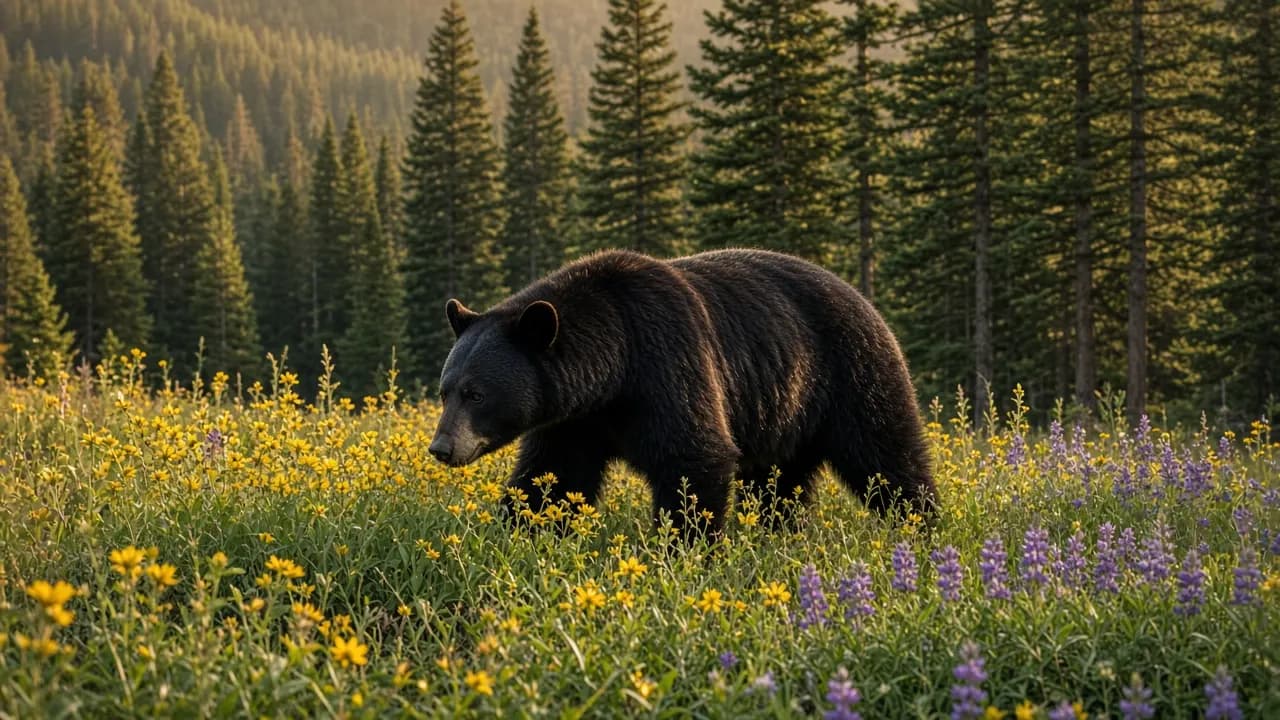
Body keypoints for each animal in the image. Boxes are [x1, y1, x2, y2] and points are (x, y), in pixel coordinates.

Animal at [427, 248, 937, 535]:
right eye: (445, 391)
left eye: (476, 393)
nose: (442, 447)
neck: (614, 366)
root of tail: (865, 300)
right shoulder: (575, 420)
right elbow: (551, 476)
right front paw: (520, 534)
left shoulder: (669, 365)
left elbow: (693, 457)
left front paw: (684, 548)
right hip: (784, 415)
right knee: (776, 486)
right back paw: (776, 535)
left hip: (852, 375)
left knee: (887, 456)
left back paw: (922, 527)